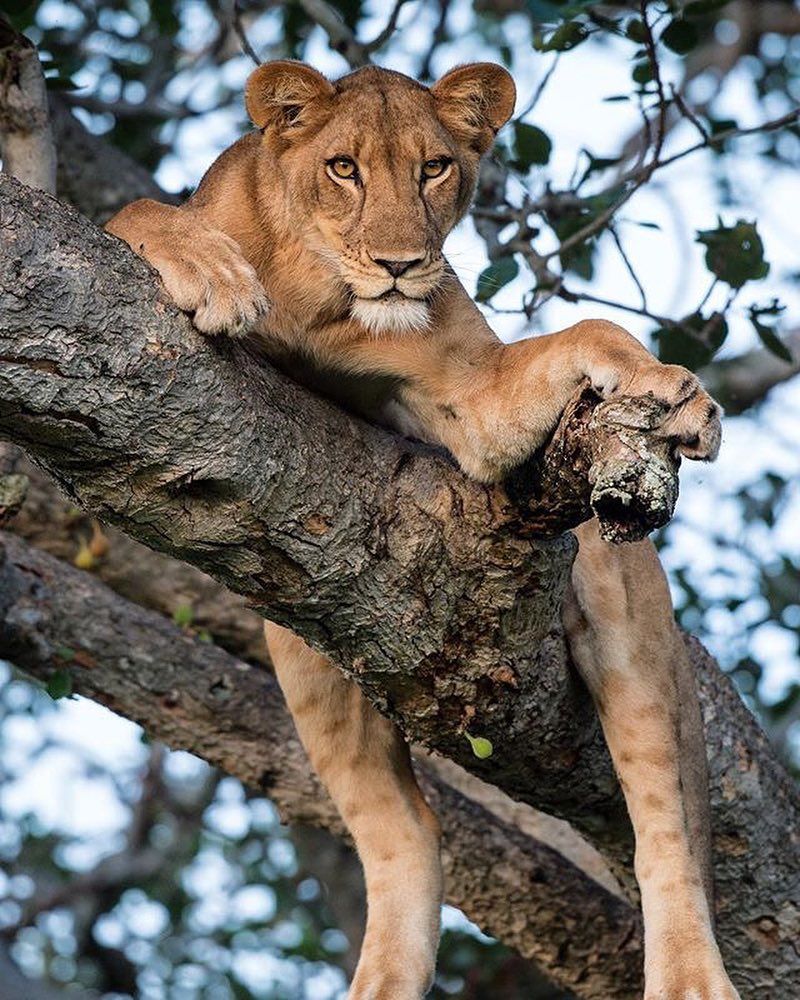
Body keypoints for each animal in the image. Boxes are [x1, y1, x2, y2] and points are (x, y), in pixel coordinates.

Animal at [106, 61, 740, 999]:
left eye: (434, 168)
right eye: (343, 168)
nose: (402, 265)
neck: (320, 288)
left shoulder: (468, 394)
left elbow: (592, 329)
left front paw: (674, 390)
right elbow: (136, 212)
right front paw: (213, 271)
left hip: (622, 601)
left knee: (663, 823)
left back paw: (691, 977)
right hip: (306, 649)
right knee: (408, 834)